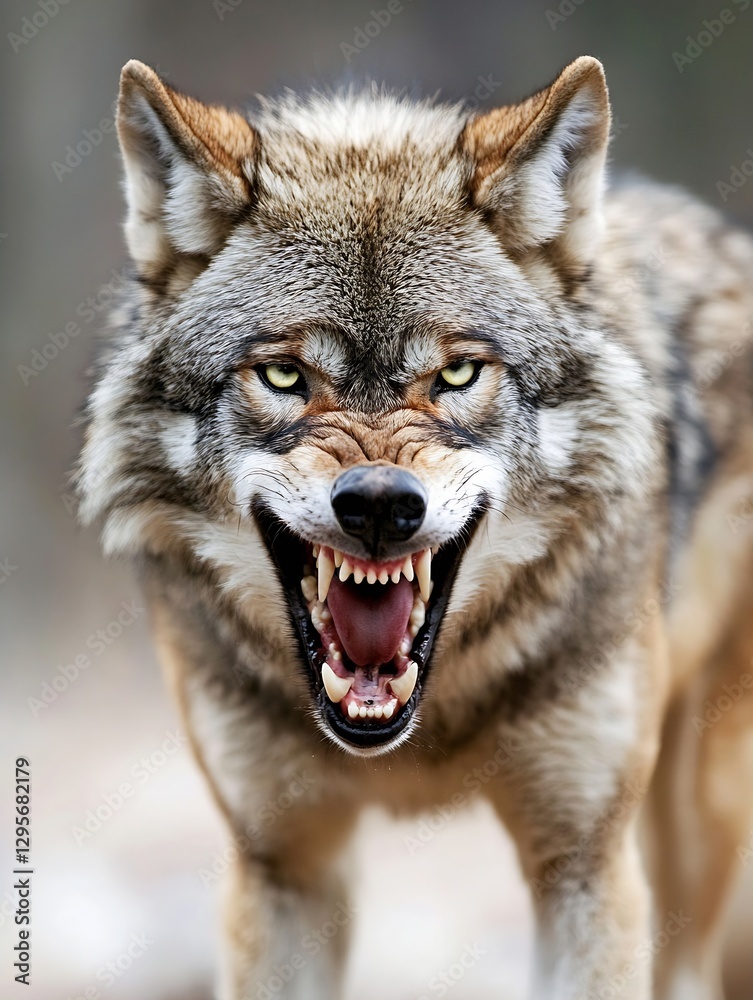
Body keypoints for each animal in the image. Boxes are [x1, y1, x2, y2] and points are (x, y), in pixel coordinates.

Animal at [77, 55, 753, 999]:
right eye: (283, 376)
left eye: (457, 374)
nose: (377, 505)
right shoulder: (281, 865)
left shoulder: (583, 861)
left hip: (699, 816)